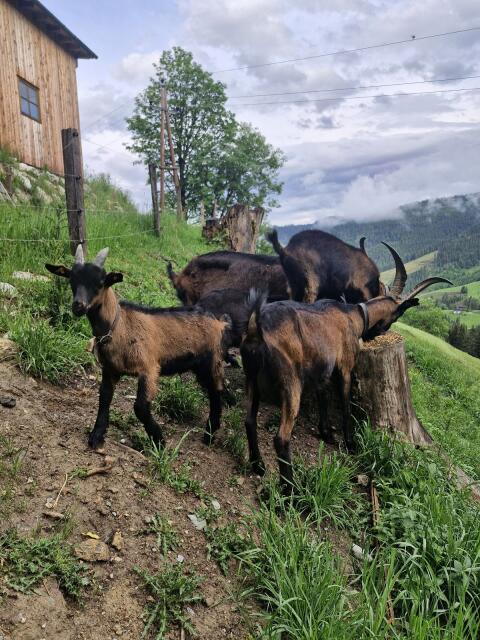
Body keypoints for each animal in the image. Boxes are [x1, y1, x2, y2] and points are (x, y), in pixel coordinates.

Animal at [45, 246, 230, 449]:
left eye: (100, 282)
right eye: (72, 279)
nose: (78, 305)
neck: (119, 326)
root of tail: (218, 321)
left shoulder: (149, 369)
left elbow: (140, 407)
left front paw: (159, 441)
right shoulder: (110, 370)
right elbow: (104, 398)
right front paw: (97, 435)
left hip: (212, 360)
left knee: (217, 392)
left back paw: (210, 434)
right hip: (198, 367)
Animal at [241, 257, 452, 489]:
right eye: (397, 315)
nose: (377, 333)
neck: (354, 315)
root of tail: (257, 327)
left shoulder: (323, 370)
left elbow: (323, 398)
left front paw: (326, 433)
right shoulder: (345, 367)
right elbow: (345, 403)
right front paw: (350, 443)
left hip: (251, 377)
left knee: (249, 421)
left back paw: (258, 465)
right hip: (291, 383)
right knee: (281, 438)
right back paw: (290, 488)